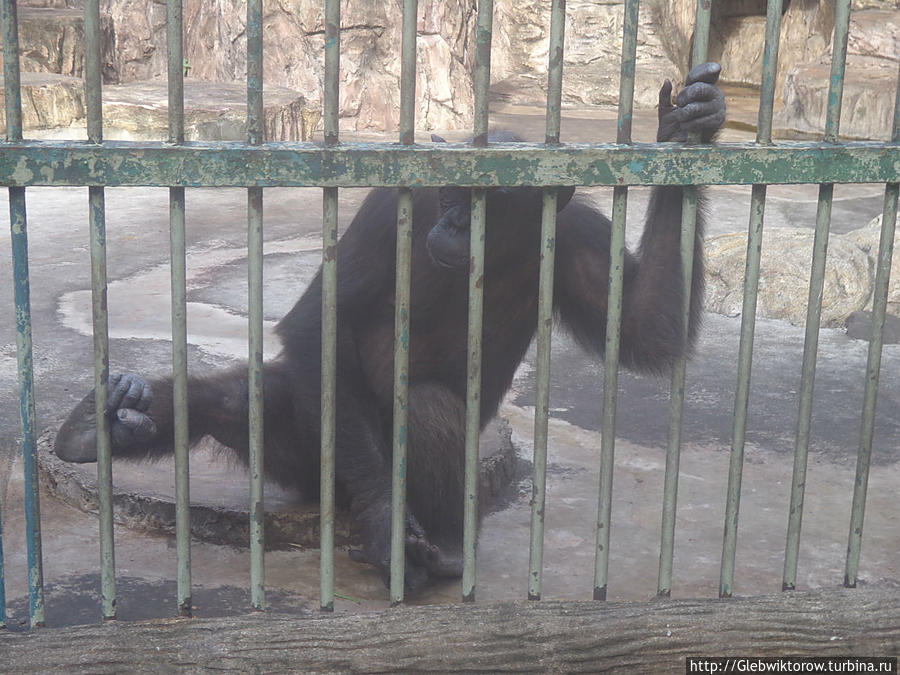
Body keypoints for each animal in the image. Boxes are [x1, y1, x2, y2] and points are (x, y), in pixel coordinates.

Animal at [56, 62, 728, 592]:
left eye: (485, 202)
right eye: (453, 193)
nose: (454, 222)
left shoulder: (578, 239)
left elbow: (644, 326)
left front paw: (691, 125)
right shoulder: (391, 206)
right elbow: (321, 320)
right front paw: (385, 521)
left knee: (427, 406)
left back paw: (445, 549)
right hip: (314, 450)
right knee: (240, 397)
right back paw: (100, 424)